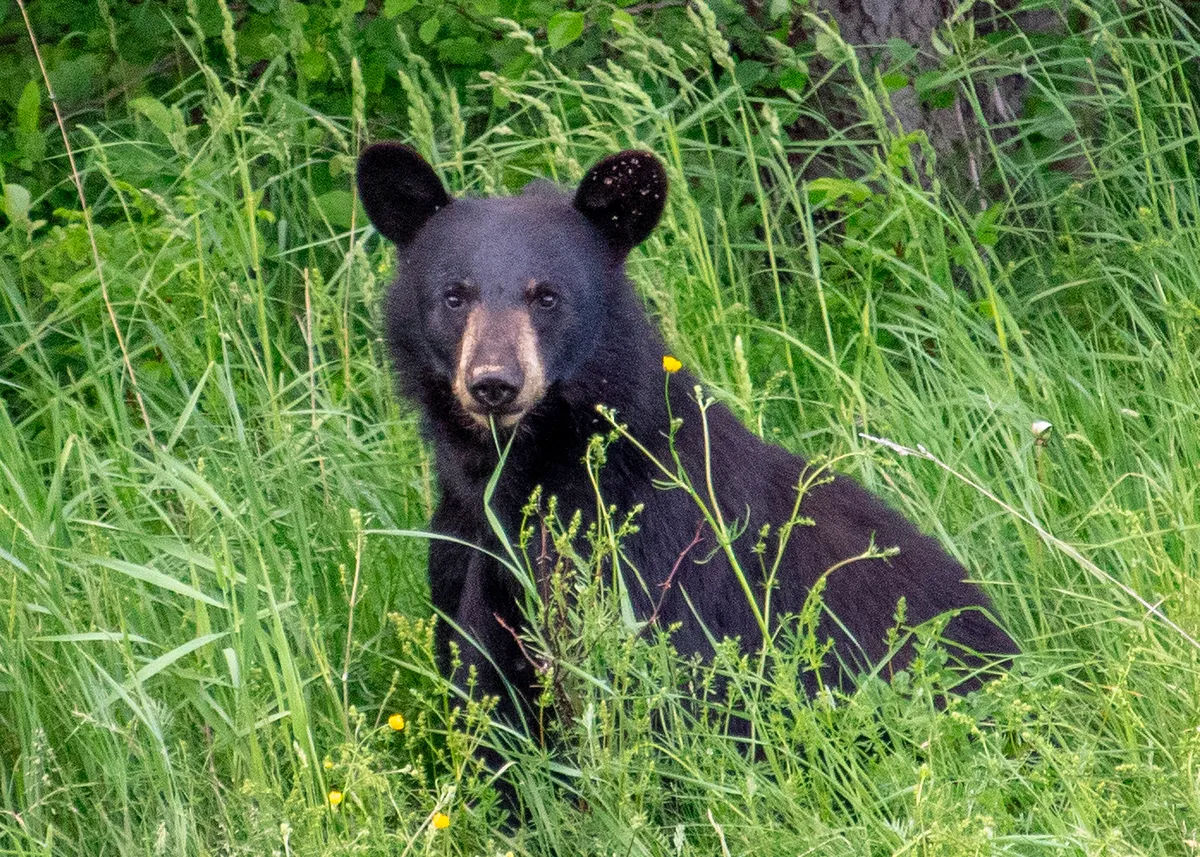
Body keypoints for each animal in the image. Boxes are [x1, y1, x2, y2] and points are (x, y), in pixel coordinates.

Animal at [356, 142, 1018, 733]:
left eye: (547, 296)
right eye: (454, 295)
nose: (494, 383)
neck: (530, 465)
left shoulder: (648, 547)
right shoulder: (462, 552)